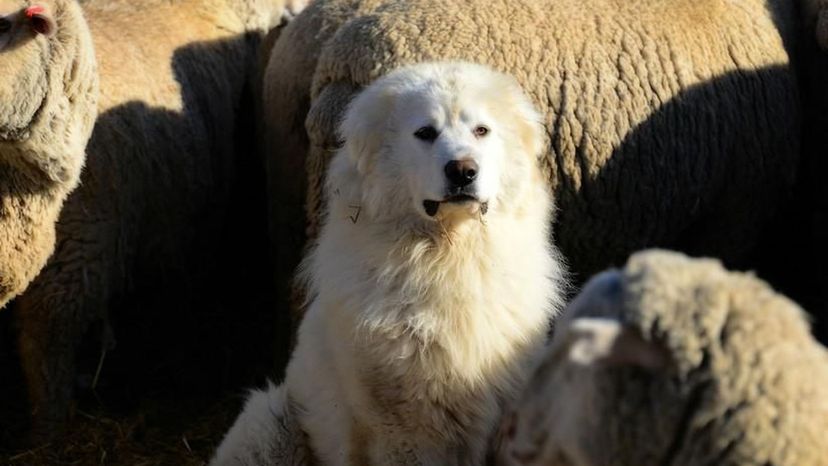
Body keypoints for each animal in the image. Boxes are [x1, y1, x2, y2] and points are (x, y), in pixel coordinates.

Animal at [210, 62, 568, 466]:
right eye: (425, 133)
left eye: (481, 130)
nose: (463, 170)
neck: (447, 257)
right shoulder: (405, 430)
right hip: (271, 421)